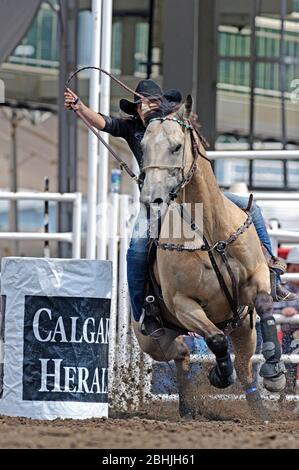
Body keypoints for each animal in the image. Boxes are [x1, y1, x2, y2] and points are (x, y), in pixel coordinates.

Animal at [133, 94, 286, 418]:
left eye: (176, 146)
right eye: (143, 146)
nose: (151, 199)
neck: (210, 233)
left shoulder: (254, 281)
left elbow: (266, 306)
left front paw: (275, 373)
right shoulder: (183, 304)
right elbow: (215, 339)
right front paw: (219, 374)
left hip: (243, 328)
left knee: (244, 368)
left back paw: (259, 413)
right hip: (154, 340)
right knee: (183, 353)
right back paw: (189, 406)